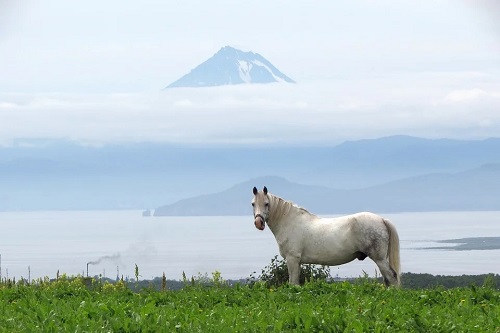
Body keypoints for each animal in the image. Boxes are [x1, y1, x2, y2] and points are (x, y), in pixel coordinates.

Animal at [252, 187, 400, 286]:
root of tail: (381, 219)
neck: (290, 221)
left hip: (379, 259)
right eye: (253, 204)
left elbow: (293, 283)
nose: (258, 223)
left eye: (266, 203)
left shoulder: (292, 259)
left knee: (391, 277)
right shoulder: (297, 262)